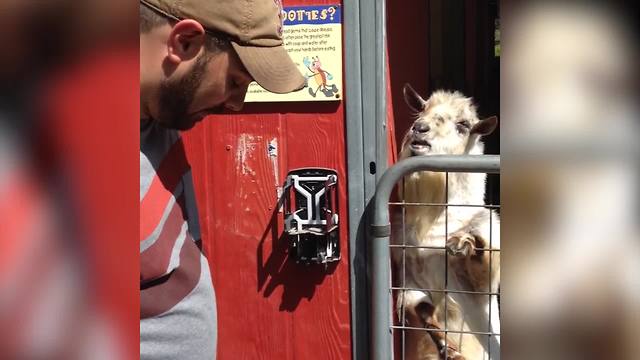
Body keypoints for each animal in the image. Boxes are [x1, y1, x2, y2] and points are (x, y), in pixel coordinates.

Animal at [392, 83, 502, 360]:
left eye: (463, 124)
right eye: (422, 109)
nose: (419, 128)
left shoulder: (479, 286)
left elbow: (481, 264)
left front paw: (465, 243)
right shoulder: (410, 276)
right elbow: (422, 309)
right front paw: (448, 349)